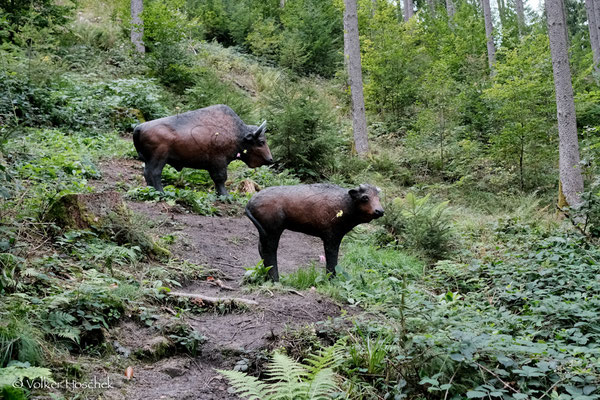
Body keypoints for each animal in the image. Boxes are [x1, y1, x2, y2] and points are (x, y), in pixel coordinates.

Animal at [132, 104, 274, 195]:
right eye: (261, 142)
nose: (270, 159)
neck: (237, 134)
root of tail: (139, 127)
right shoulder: (219, 162)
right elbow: (220, 178)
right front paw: (225, 196)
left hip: (150, 160)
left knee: (147, 173)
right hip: (159, 158)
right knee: (154, 173)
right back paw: (161, 193)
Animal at [245, 184, 382, 282]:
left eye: (378, 197)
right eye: (365, 197)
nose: (380, 211)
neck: (344, 203)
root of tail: (249, 203)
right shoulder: (332, 237)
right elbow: (332, 260)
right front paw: (331, 280)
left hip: (265, 232)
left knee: (261, 250)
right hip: (273, 230)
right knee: (269, 251)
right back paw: (275, 280)